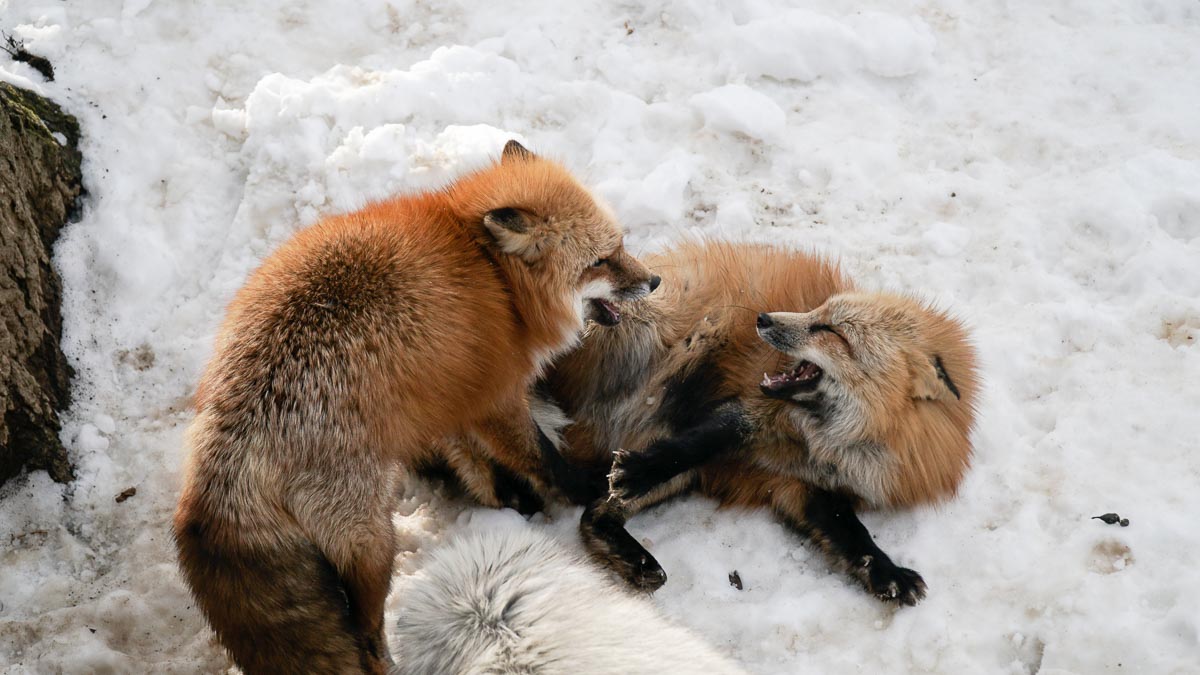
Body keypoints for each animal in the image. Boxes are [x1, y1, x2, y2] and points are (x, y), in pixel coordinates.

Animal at [172, 139, 657, 667]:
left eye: (620, 246)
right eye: (601, 260)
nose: (654, 281)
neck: (496, 279)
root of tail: (226, 445)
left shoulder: (446, 388)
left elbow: (473, 459)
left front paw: (507, 497)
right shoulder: (496, 397)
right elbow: (543, 459)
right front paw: (587, 488)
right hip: (373, 541)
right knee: (364, 632)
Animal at [540, 240, 979, 605]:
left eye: (831, 331)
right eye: (817, 310)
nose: (763, 319)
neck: (830, 441)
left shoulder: (804, 485)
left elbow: (853, 534)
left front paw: (887, 574)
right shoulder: (751, 413)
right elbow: (695, 444)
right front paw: (640, 469)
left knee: (594, 515)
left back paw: (633, 559)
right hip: (679, 340)